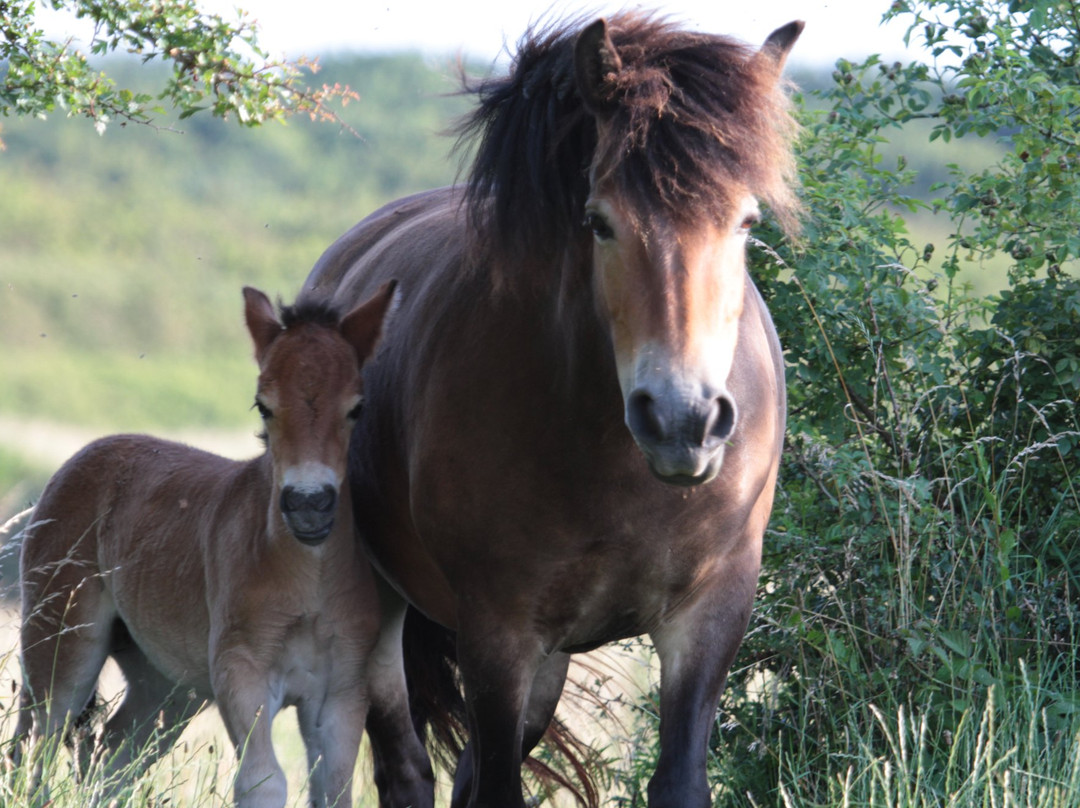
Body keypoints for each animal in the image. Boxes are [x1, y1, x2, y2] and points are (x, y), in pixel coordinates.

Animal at [14, 283, 432, 808]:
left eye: (357, 407)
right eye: (263, 406)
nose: (309, 505)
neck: (308, 580)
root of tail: (83, 457)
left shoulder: (340, 693)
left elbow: (334, 790)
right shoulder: (241, 672)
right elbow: (262, 780)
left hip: (166, 684)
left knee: (111, 752)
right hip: (62, 641)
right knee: (37, 746)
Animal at [300, 12, 799, 808]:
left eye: (747, 222)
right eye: (598, 222)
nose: (682, 421)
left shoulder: (708, 615)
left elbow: (679, 779)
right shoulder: (498, 633)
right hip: (383, 615)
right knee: (403, 769)